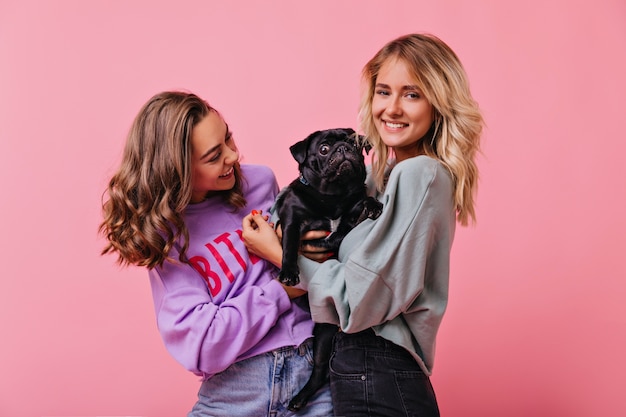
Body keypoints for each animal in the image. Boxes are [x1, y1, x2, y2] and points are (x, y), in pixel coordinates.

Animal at [272, 127, 380, 410]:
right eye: (323, 149)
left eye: (355, 143)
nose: (343, 148)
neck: (332, 196)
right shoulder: (291, 222)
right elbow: (289, 247)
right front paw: (289, 272)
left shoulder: (349, 212)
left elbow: (357, 210)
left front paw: (373, 205)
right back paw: (299, 399)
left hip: (324, 333)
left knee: (320, 371)